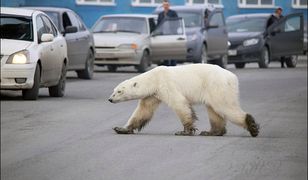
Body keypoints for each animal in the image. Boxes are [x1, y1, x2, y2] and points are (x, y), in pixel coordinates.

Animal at [108, 64, 260, 136]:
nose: (109, 99)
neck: (154, 78)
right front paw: (121, 128)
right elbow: (143, 111)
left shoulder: (166, 85)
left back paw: (252, 126)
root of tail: (233, 77)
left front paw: (184, 131)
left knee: (224, 106)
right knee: (214, 111)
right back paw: (211, 132)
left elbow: (180, 104)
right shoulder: (153, 94)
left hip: (217, 85)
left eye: (119, 91)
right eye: (114, 90)